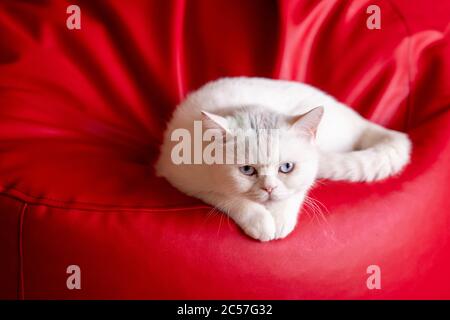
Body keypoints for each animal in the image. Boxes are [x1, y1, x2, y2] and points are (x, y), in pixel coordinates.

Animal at [156, 77, 412, 241]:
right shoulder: (184, 179)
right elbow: (230, 198)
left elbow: (295, 193)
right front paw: (260, 221)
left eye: (286, 167)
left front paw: (279, 219)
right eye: (247, 170)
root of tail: (358, 120)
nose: (269, 189)